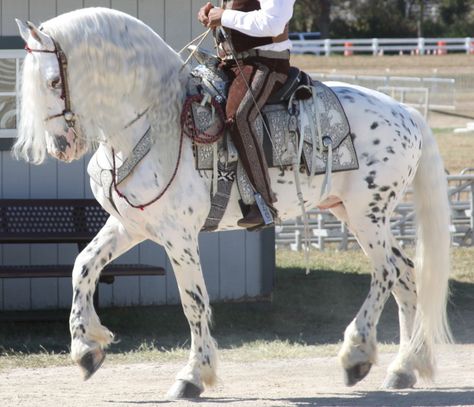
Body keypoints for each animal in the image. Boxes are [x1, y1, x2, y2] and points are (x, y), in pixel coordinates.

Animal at [14, 7, 452, 402]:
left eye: (52, 81)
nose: (61, 146)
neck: (154, 122)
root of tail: (407, 112)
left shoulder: (179, 237)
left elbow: (193, 303)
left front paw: (193, 375)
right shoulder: (130, 226)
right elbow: (83, 266)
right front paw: (86, 349)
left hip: (366, 215)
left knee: (386, 272)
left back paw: (357, 354)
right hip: (352, 212)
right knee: (406, 274)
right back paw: (404, 368)